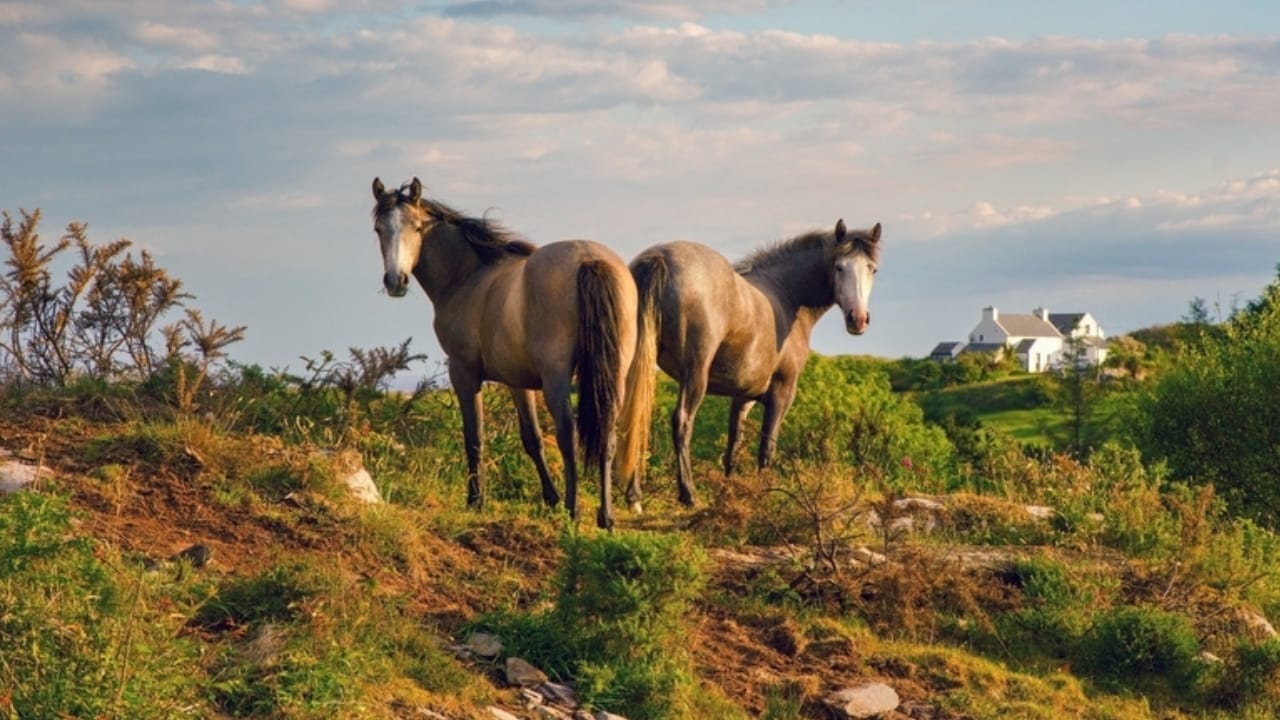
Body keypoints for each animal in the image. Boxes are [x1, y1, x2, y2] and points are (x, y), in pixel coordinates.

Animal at [371, 177, 641, 529]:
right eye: (379, 228)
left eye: (416, 227)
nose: (396, 281)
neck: (468, 277)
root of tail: (588, 259)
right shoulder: (518, 381)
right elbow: (533, 438)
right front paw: (550, 498)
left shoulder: (464, 373)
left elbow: (474, 436)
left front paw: (476, 500)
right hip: (614, 374)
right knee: (607, 435)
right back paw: (605, 516)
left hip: (556, 378)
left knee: (568, 435)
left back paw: (574, 510)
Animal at [614, 219, 881, 509]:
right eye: (839, 267)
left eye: (872, 269)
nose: (858, 319)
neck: (785, 294)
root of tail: (659, 258)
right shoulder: (782, 392)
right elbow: (767, 447)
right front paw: (763, 496)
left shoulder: (743, 397)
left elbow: (734, 446)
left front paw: (728, 494)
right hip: (695, 374)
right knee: (682, 421)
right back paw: (688, 494)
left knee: (635, 418)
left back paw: (634, 497)